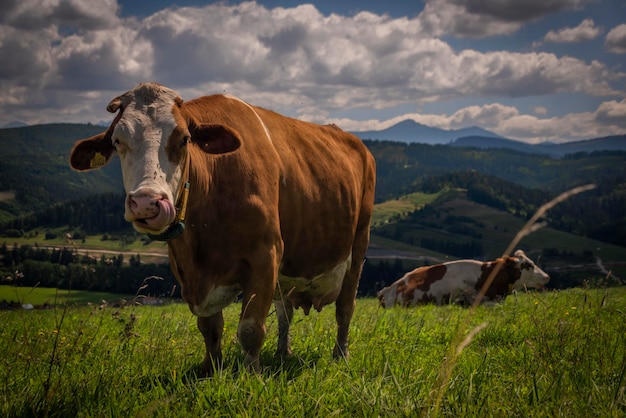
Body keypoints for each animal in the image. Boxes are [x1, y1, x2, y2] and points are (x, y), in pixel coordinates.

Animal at [70, 82, 378, 376]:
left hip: (358, 245)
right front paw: (211, 370)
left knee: (345, 309)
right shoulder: (187, 271)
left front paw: (251, 376)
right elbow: (210, 330)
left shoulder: (265, 256)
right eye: (117, 140)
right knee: (286, 311)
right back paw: (283, 353)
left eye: (184, 139)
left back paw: (340, 355)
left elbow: (251, 329)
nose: (147, 202)